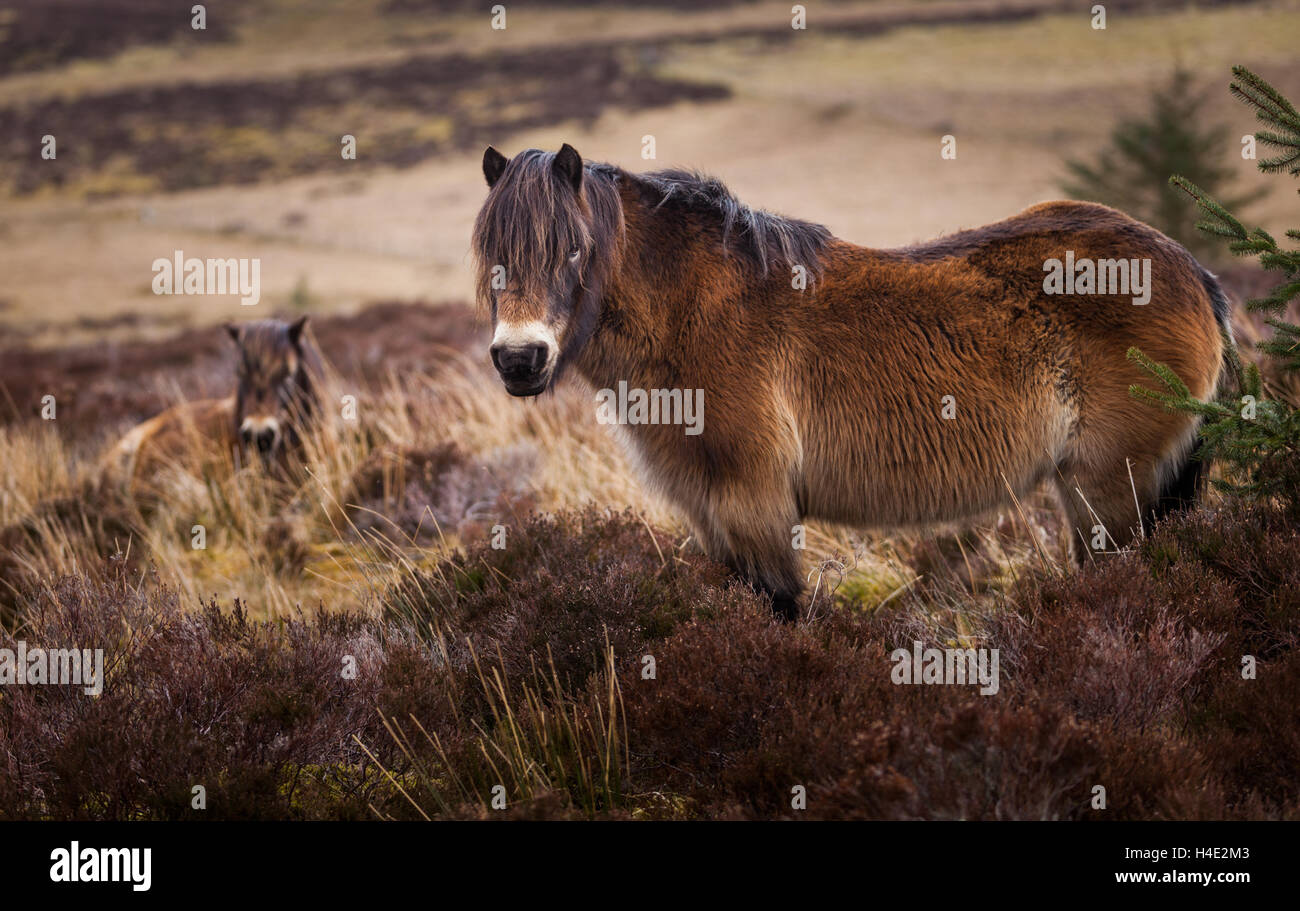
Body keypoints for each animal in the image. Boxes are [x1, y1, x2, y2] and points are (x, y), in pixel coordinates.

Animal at [470, 145, 1227, 618]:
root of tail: (1189, 267)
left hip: (1107, 490)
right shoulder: (712, 517)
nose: (519, 360)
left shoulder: (756, 506)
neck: (693, 309)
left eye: (572, 247)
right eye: (490, 254)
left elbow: (782, 616)